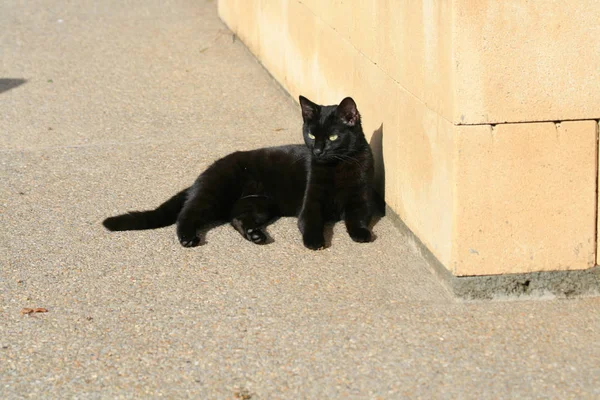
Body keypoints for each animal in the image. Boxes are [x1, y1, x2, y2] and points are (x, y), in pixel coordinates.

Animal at [103, 95, 376, 248]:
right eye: (310, 135)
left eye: (332, 137)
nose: (317, 151)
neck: (338, 167)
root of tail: (206, 172)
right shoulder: (311, 202)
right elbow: (311, 220)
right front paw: (314, 241)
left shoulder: (361, 199)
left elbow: (357, 218)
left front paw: (362, 234)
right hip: (216, 192)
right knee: (187, 213)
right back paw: (188, 238)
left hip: (260, 203)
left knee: (236, 217)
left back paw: (255, 236)